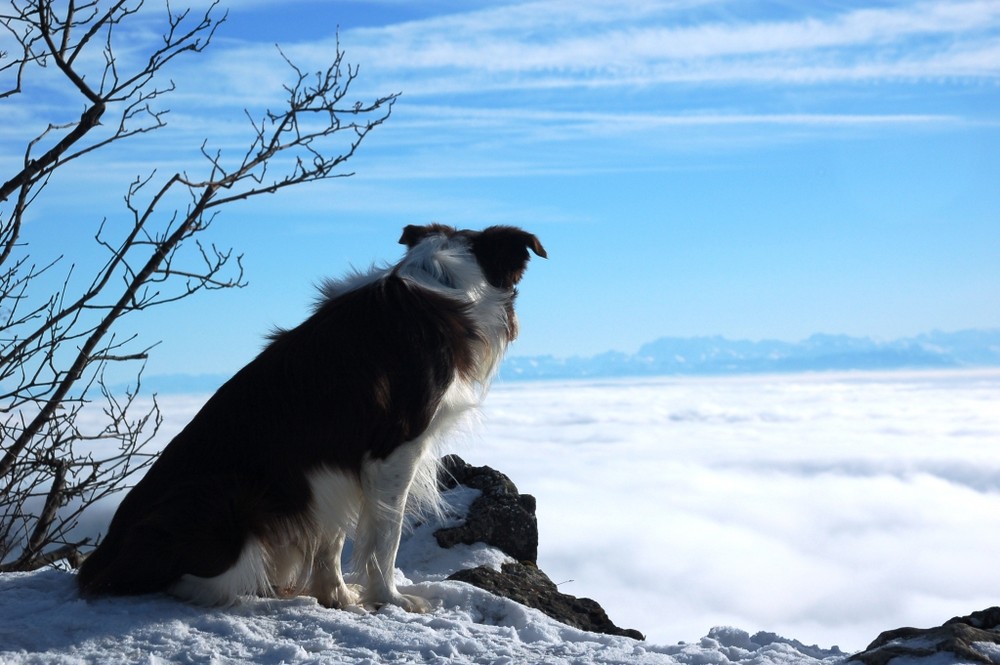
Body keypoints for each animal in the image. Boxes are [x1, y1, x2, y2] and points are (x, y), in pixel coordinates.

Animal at [78, 224, 548, 612]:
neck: (444, 282)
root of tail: (105, 553)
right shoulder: (395, 448)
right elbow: (385, 536)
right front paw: (390, 598)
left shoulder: (333, 466)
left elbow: (332, 535)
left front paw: (337, 596)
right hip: (229, 502)